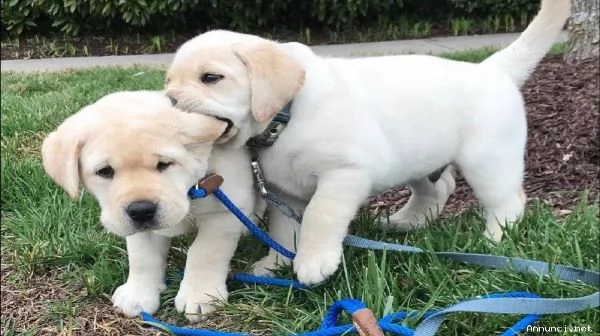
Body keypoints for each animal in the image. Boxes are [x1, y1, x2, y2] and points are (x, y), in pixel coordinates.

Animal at [41, 90, 256, 322]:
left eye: (164, 164)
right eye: (105, 171)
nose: (141, 210)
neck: (191, 190)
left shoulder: (224, 214)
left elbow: (204, 253)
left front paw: (200, 295)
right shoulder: (139, 229)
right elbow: (142, 257)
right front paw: (138, 294)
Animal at [164, 0, 572, 286]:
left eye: (211, 77)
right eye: (169, 81)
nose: (167, 100)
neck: (286, 119)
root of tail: (492, 69)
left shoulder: (344, 173)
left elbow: (320, 216)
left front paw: (313, 262)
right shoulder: (285, 192)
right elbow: (284, 229)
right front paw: (275, 264)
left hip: (488, 160)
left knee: (507, 201)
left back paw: (494, 240)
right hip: (421, 159)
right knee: (439, 188)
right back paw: (405, 223)